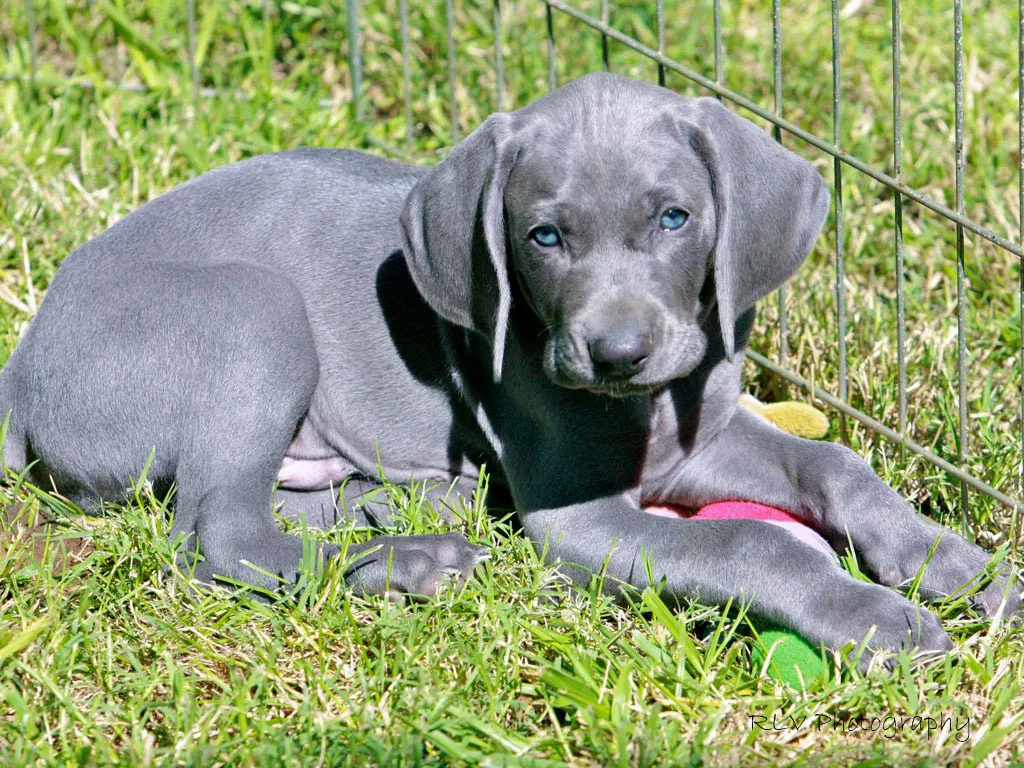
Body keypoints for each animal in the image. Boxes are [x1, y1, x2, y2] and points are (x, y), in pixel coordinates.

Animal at [4, 75, 1019, 659]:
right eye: (544, 236)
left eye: (674, 218)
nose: (617, 355)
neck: (646, 409)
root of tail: (21, 363)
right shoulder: (583, 515)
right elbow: (747, 541)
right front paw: (874, 619)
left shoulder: (700, 438)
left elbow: (837, 465)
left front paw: (964, 569)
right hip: (253, 313)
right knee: (220, 536)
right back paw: (412, 559)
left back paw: (412, 516)